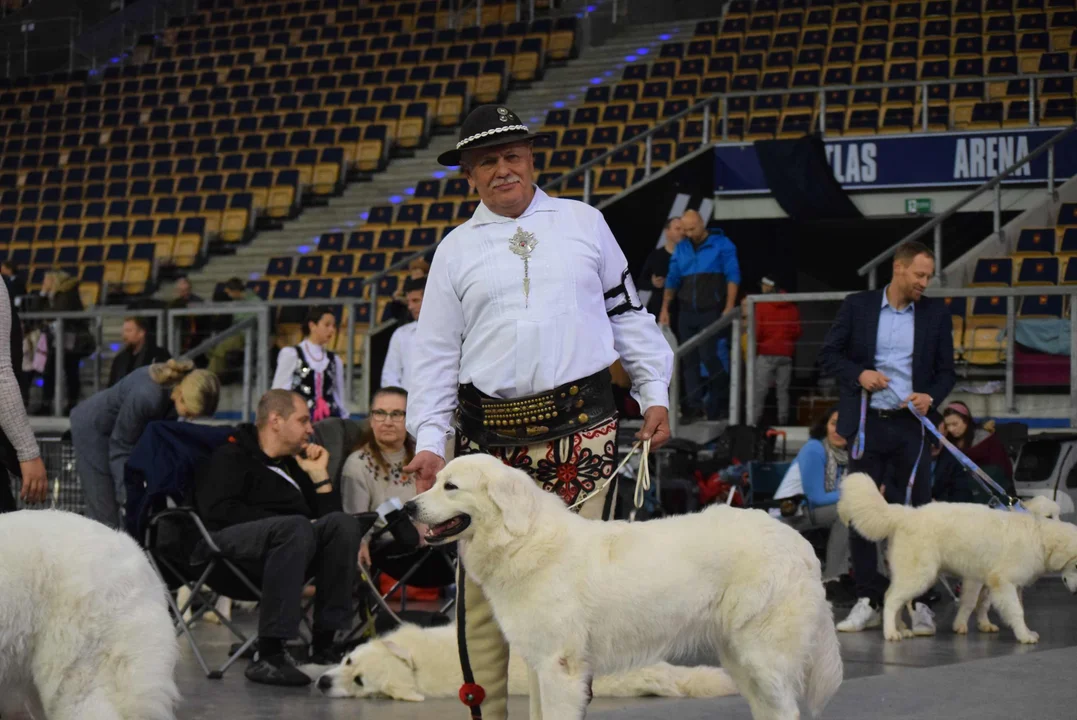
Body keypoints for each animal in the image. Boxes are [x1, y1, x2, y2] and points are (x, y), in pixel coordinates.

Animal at [404, 454, 840, 718]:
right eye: (435, 480)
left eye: (451, 487)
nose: (408, 508)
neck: (521, 539)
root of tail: (800, 543)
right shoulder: (537, 663)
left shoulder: (560, 667)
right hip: (739, 655)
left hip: (763, 653)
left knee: (785, 709)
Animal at [840, 473, 1077, 641]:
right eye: (1049, 516)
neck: (1039, 536)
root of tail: (906, 513)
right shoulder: (998, 582)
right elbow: (1008, 610)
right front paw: (1024, 636)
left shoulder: (998, 583)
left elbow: (993, 606)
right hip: (920, 576)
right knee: (890, 599)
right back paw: (891, 633)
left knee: (896, 598)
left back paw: (902, 629)